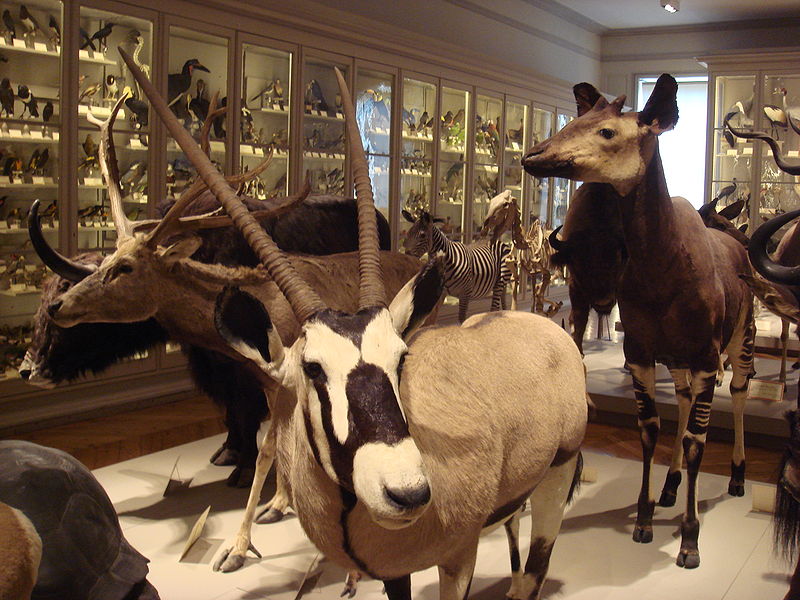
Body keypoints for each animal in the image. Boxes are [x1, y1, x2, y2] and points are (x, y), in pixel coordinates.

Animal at [520, 74, 752, 568]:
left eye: (607, 132)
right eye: (575, 122)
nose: (533, 156)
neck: (663, 265)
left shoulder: (707, 358)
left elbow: (698, 440)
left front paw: (690, 543)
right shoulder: (642, 354)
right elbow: (650, 430)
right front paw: (644, 520)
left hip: (739, 338)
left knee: (741, 390)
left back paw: (738, 477)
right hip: (680, 360)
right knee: (682, 400)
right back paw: (670, 487)